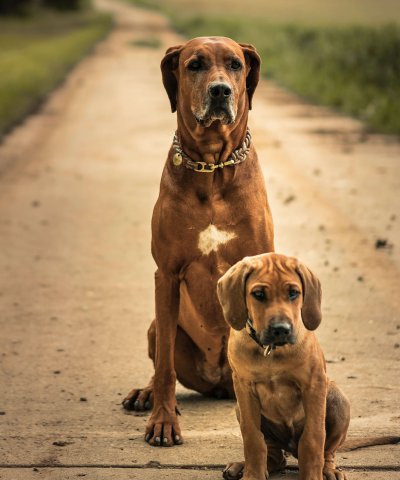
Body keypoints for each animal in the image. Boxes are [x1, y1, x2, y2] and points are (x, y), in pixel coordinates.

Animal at [122, 37, 276, 446]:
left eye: (235, 64)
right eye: (194, 65)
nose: (220, 90)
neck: (212, 167)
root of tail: (217, 381)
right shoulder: (166, 275)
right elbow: (164, 367)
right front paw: (163, 421)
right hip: (157, 326)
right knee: (162, 359)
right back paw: (145, 394)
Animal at [216, 253, 350, 478]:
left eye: (293, 293)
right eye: (258, 294)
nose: (281, 329)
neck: (271, 351)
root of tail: (290, 448)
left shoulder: (314, 384)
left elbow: (314, 438)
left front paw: (313, 475)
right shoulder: (243, 387)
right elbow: (253, 438)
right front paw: (253, 475)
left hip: (337, 400)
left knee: (327, 451)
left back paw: (328, 470)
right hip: (239, 408)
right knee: (274, 456)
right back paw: (243, 466)